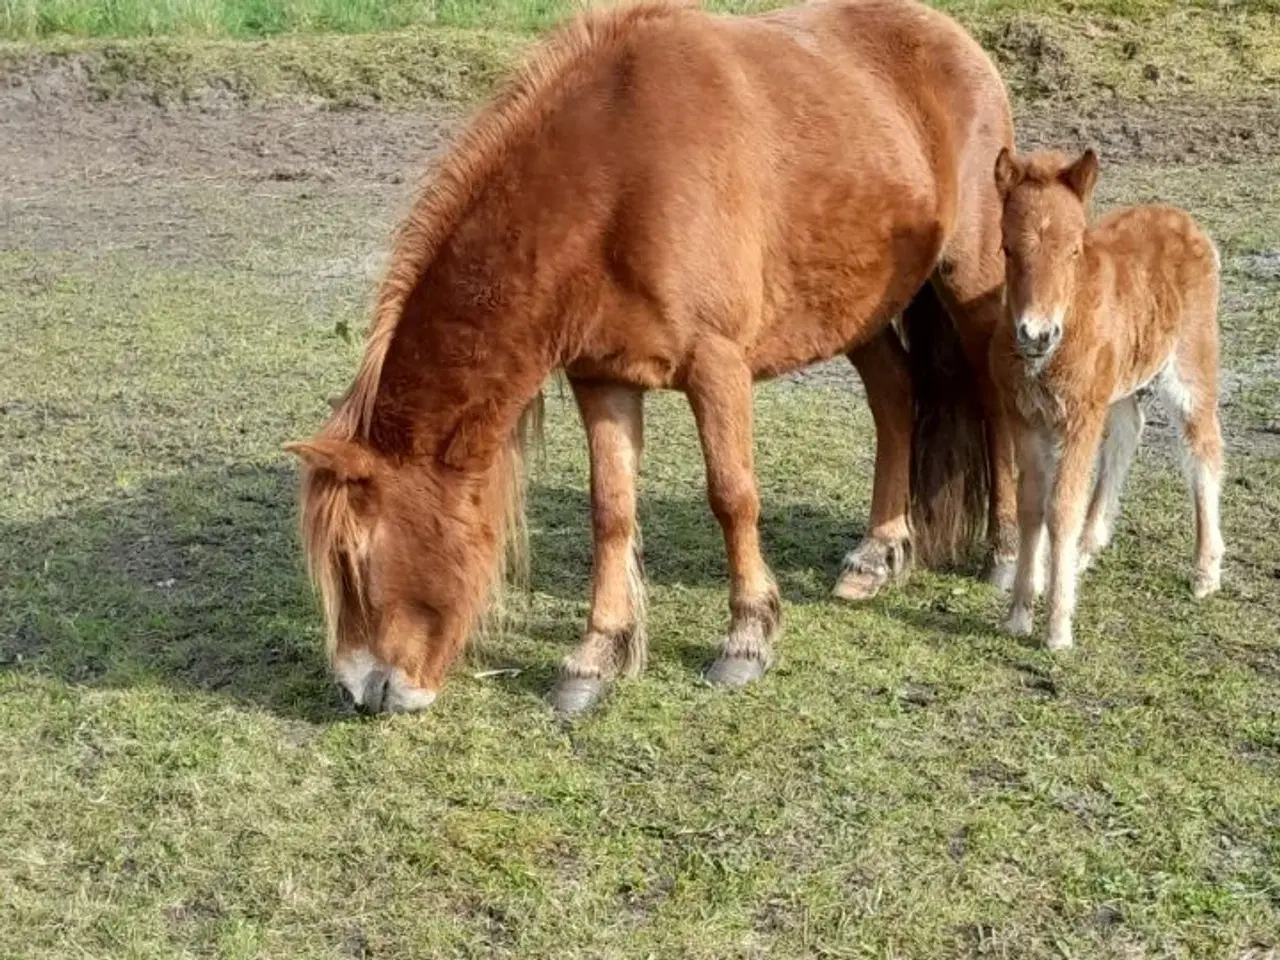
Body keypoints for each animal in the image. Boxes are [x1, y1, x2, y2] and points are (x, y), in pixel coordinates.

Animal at [285, 0, 1013, 716]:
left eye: (353, 555)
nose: (361, 691)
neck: (616, 177)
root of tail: (956, 41)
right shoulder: (602, 378)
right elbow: (610, 510)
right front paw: (596, 656)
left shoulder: (718, 366)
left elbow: (732, 495)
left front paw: (746, 639)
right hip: (856, 310)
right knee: (895, 398)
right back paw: (876, 553)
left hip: (970, 281)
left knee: (995, 398)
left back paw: (1005, 556)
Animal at [983, 150, 1223, 655]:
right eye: (1008, 249)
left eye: (1074, 250)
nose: (1036, 333)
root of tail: (1185, 221)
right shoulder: (1026, 419)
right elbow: (1032, 504)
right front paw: (1018, 614)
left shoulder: (1079, 418)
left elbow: (1061, 508)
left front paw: (1057, 628)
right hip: (1121, 382)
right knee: (1127, 434)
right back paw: (1083, 552)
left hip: (1190, 364)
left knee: (1203, 447)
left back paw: (1206, 571)